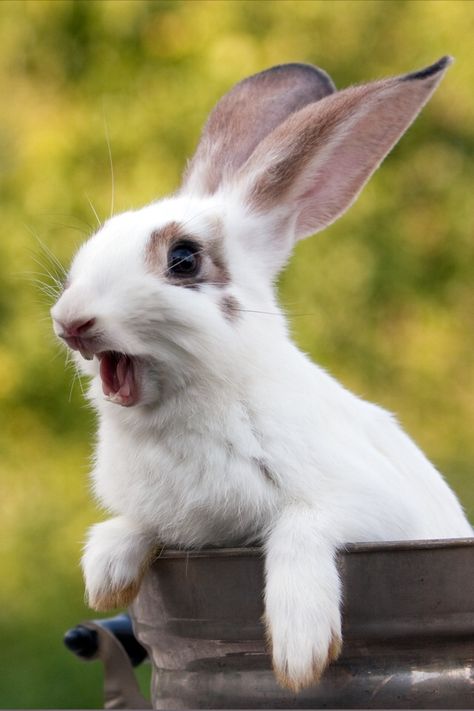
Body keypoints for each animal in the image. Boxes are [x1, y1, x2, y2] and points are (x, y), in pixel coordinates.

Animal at [50, 58, 472, 692]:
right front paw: (105, 570)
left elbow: (300, 524)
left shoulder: (371, 507)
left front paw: (300, 650)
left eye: (183, 259)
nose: (69, 321)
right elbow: (139, 525)